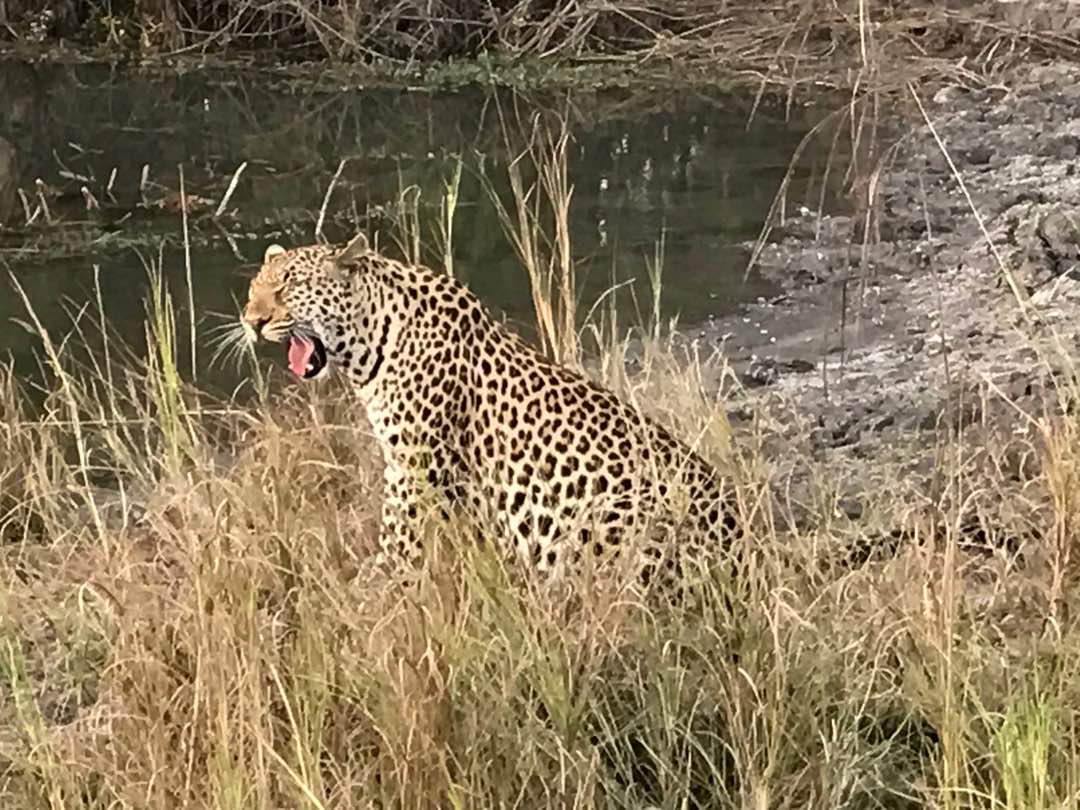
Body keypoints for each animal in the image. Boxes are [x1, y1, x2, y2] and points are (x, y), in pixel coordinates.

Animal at [240, 232, 742, 590]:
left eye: (289, 286)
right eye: (253, 290)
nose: (251, 321)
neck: (368, 341)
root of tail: (744, 548)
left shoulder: (417, 469)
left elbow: (398, 537)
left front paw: (376, 587)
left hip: (619, 515)